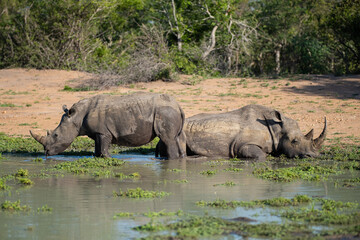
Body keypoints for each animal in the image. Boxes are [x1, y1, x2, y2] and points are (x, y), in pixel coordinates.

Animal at [30, 92, 186, 159]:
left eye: (56, 135)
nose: (46, 152)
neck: (77, 116)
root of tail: (178, 105)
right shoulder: (97, 133)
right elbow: (97, 150)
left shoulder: (103, 132)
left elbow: (103, 150)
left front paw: (109, 158)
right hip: (169, 112)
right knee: (176, 138)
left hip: (165, 112)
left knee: (167, 139)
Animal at [156, 104, 328, 159]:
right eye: (295, 141)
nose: (312, 156)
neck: (277, 128)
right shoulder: (242, 145)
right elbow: (260, 155)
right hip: (176, 132)